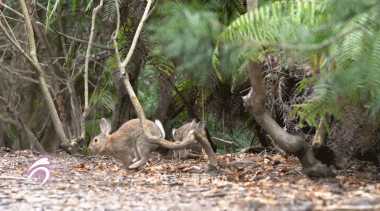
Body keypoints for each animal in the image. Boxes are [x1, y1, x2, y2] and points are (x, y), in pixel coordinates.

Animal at [88, 118, 217, 169]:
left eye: (95, 140)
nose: (89, 148)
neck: (108, 142)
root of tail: (158, 137)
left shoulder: (123, 151)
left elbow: (126, 160)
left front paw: (126, 167)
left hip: (140, 143)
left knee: (145, 157)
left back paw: (134, 165)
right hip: (137, 147)